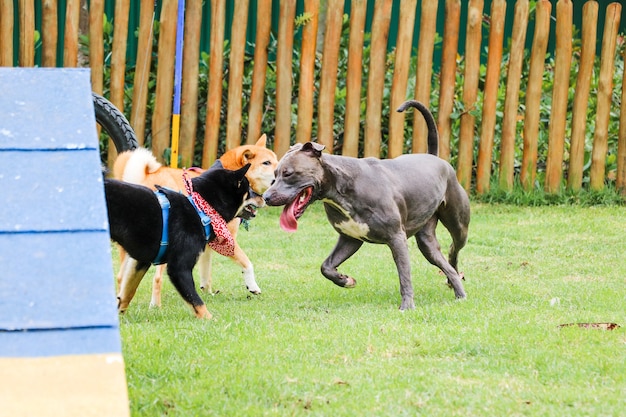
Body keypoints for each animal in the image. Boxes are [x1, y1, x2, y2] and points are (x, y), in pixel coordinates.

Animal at [104, 164, 249, 316]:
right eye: (248, 189)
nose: (259, 196)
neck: (200, 208)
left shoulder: (140, 261)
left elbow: (128, 292)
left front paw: (120, 311)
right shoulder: (179, 268)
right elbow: (197, 301)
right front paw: (209, 318)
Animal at [112, 134, 278, 306]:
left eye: (276, 160)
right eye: (266, 163)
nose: (280, 172)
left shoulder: (207, 243)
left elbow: (206, 272)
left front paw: (208, 292)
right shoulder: (227, 241)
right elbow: (247, 263)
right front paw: (253, 286)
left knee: (121, 277)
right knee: (157, 278)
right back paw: (155, 305)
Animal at [262, 100, 468, 308]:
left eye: (288, 173)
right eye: (275, 174)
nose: (266, 197)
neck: (341, 188)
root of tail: (435, 158)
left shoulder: (397, 238)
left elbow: (404, 275)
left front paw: (407, 305)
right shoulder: (350, 238)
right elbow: (326, 266)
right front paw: (345, 280)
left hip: (459, 226)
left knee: (454, 250)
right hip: (427, 242)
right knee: (445, 264)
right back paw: (457, 290)